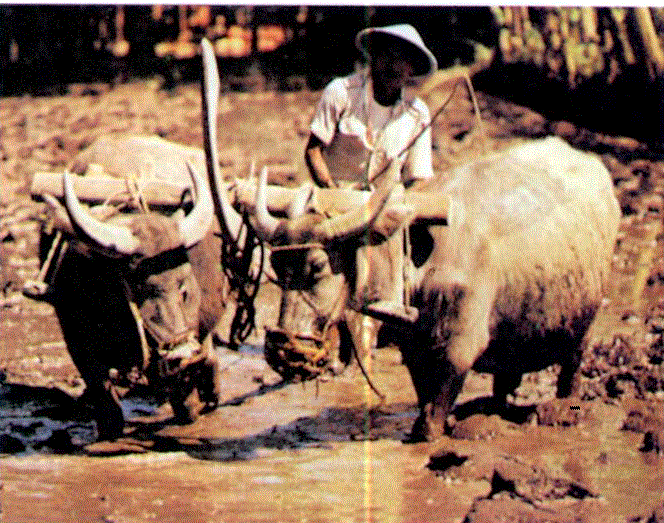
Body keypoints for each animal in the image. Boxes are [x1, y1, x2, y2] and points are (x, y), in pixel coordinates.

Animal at [219, 135, 624, 442]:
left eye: (318, 266)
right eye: (276, 266)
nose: (285, 349)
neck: (421, 263)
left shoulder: (459, 349)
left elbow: (432, 417)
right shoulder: (414, 346)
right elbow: (422, 393)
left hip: (582, 326)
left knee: (572, 366)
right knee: (504, 380)